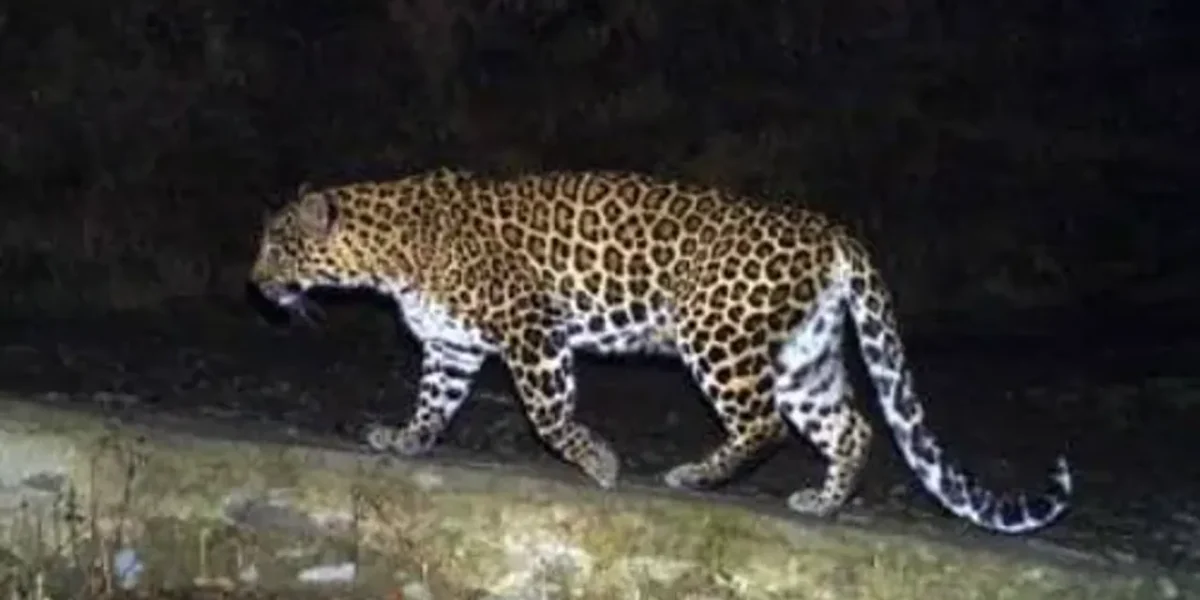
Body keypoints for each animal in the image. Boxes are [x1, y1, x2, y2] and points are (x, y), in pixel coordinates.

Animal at [249, 167, 1072, 534]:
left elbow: (549, 413)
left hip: (717, 334)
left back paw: (695, 476)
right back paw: (821, 502)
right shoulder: (452, 346)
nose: (255, 284)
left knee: (764, 424)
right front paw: (406, 440)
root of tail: (830, 229)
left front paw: (598, 463)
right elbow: (433, 403)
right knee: (852, 427)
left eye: (278, 245)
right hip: (803, 355)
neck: (389, 250)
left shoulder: (532, 327)